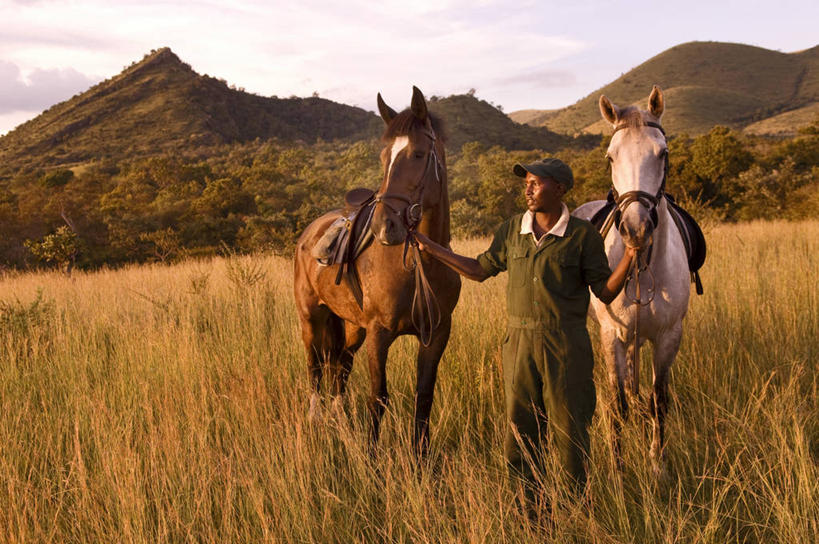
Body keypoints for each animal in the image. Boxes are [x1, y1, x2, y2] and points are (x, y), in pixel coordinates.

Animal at [294, 86, 462, 454]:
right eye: (384, 158)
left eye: (418, 154)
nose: (386, 226)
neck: (420, 265)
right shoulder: (379, 334)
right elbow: (378, 397)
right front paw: (371, 457)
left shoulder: (436, 335)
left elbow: (424, 397)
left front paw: (420, 458)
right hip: (312, 318)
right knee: (315, 367)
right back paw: (315, 419)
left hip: (352, 327)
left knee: (340, 365)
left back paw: (339, 420)